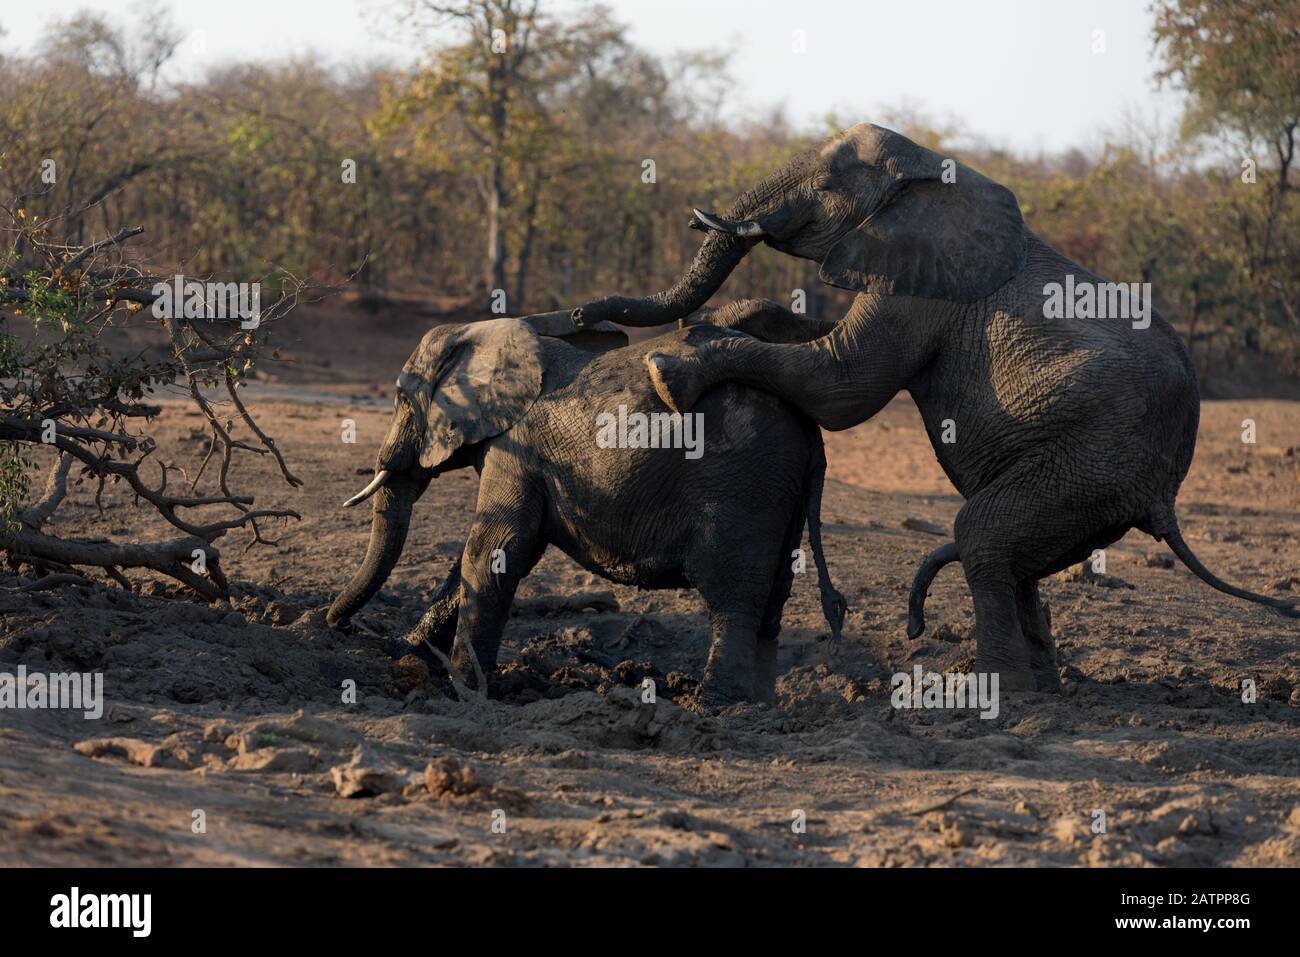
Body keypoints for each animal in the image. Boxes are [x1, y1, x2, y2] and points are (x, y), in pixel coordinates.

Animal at [325, 302, 847, 707]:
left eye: (400, 398)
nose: (339, 625)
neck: (493, 333)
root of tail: (810, 435)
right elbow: (490, 556)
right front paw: (406, 653)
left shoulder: (516, 448)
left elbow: (494, 550)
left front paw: (466, 691)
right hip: (781, 492)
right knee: (773, 599)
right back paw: (761, 705)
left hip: (744, 487)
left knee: (732, 597)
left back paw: (714, 705)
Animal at [579, 123, 1300, 691]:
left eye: (830, 182)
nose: (587, 315)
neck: (927, 169)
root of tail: (1167, 498)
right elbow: (822, 347)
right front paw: (714, 323)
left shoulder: (920, 283)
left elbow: (842, 382)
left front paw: (670, 368)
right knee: (1018, 557)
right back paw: (1042, 686)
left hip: (1093, 460)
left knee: (982, 533)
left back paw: (997, 694)